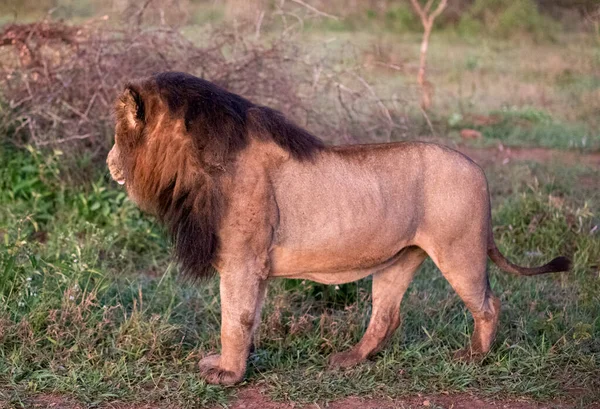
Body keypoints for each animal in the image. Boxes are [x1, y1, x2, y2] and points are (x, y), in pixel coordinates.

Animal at [108, 71, 572, 384]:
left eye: (118, 133)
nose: (110, 162)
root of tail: (478, 168)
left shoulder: (242, 261)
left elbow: (233, 319)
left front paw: (228, 375)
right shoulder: (256, 267)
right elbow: (251, 318)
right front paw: (242, 362)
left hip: (461, 252)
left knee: (490, 305)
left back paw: (474, 358)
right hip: (400, 259)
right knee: (387, 317)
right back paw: (349, 360)